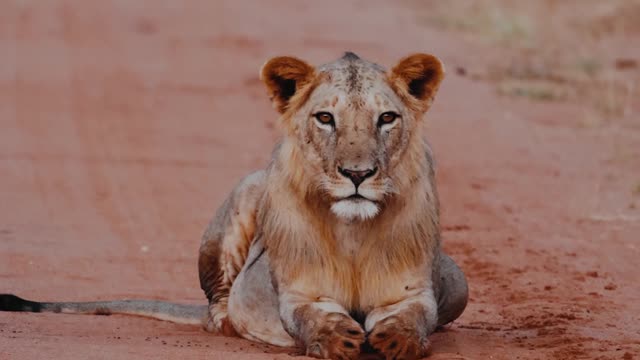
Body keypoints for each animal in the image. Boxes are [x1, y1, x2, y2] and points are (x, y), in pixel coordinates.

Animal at [1, 51, 470, 360]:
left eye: (386, 118)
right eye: (325, 118)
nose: (358, 174)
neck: (353, 229)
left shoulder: (410, 290)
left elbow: (411, 317)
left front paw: (398, 340)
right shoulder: (300, 292)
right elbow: (316, 316)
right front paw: (336, 339)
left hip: (458, 279)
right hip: (246, 192)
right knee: (217, 306)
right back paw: (238, 324)